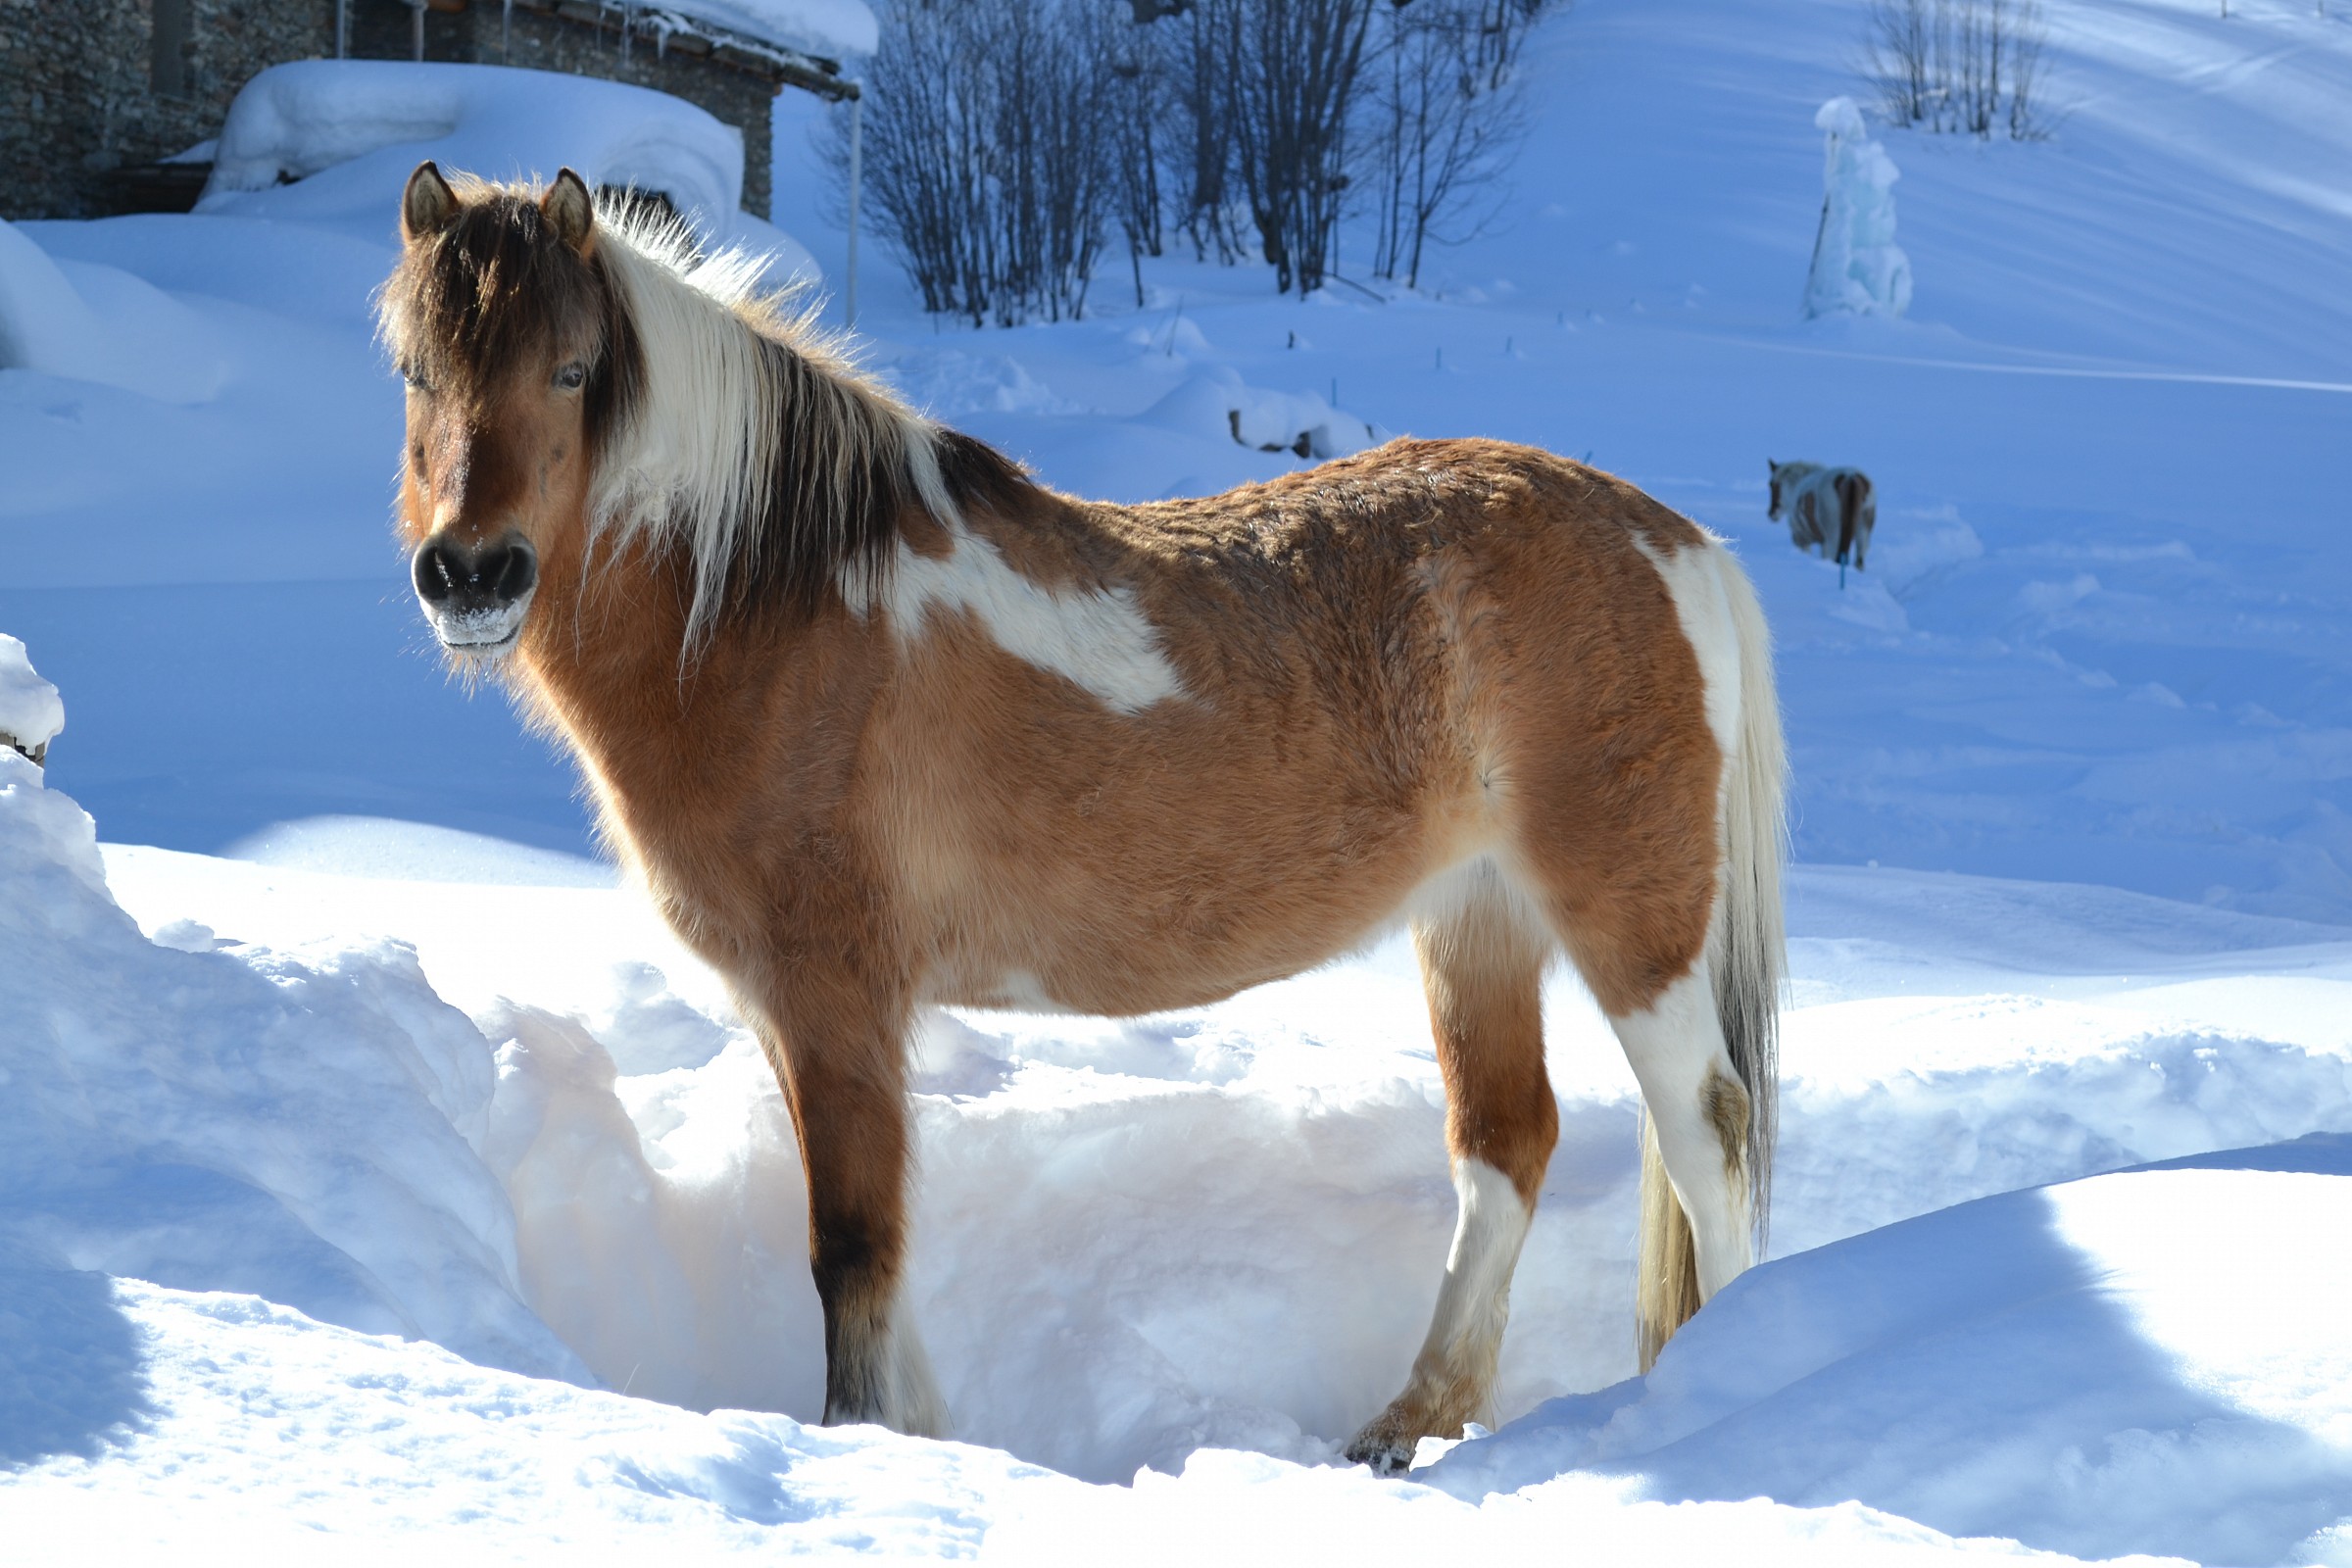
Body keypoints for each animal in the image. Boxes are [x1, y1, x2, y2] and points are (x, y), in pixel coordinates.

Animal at [379, 163, 1788, 1471]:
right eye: (414, 370)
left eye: (573, 371)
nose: (472, 575)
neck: (781, 606)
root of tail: (1674, 541)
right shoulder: (803, 1014)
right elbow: (878, 1251)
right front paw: (923, 1439)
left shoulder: (834, 997)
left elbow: (852, 1248)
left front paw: (857, 1446)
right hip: (1477, 920)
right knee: (1505, 1146)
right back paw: (1408, 1423)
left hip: (1632, 919)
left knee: (1706, 1131)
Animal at [1768, 459, 1876, 586]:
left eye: (1771, 484)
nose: (1771, 513)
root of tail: (1851, 476)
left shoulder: (1801, 538)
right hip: (1863, 533)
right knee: (1859, 560)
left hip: (1833, 538)